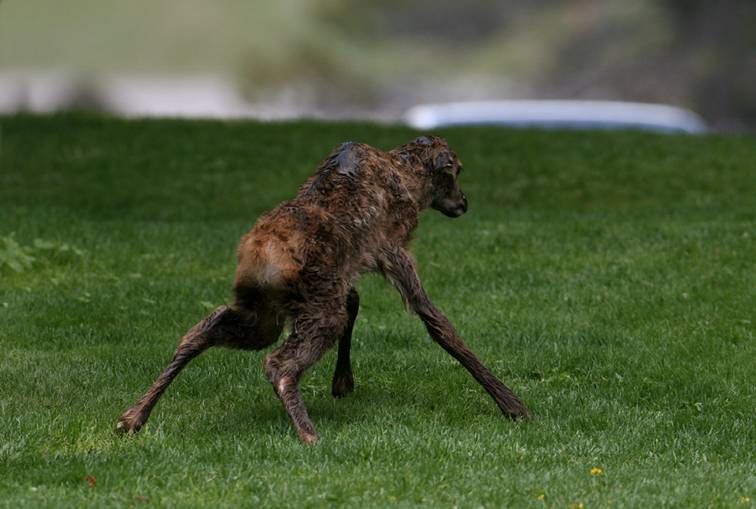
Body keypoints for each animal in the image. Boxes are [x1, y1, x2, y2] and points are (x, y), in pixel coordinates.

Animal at [118, 135, 532, 440]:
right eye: (456, 170)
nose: (463, 202)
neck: (410, 187)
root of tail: (258, 256)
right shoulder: (390, 250)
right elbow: (439, 324)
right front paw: (514, 407)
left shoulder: (348, 270)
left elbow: (357, 301)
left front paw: (343, 382)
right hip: (312, 307)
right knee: (278, 364)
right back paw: (309, 434)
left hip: (264, 312)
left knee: (199, 331)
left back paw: (132, 417)